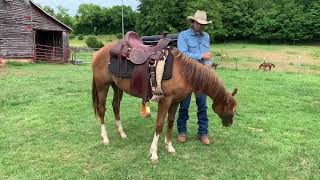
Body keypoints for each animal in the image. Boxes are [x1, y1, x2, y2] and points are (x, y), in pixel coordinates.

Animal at [91, 42, 236, 162]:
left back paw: (122, 134)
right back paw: (105, 138)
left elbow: (170, 122)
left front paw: (169, 146)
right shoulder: (165, 101)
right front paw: (154, 153)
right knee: (101, 109)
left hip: (117, 87)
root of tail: (98, 52)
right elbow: (160, 125)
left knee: (116, 106)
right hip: (102, 87)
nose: (229, 123)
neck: (183, 72)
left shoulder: (175, 101)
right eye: (233, 109)